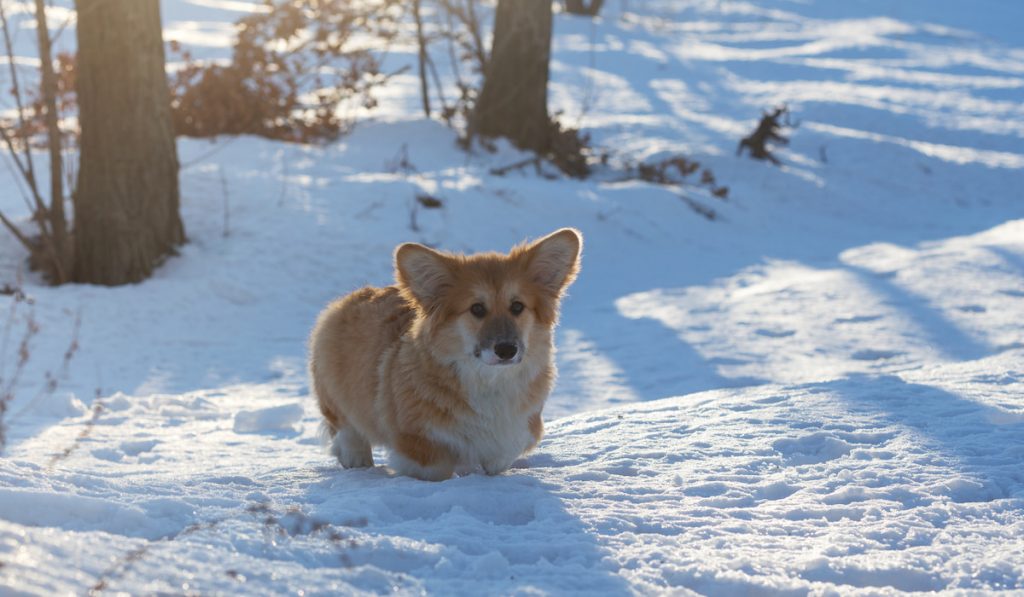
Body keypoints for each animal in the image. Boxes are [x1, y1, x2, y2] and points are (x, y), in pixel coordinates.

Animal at [307, 229, 581, 481]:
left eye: (517, 306)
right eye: (477, 309)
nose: (506, 350)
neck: (487, 380)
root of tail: (352, 297)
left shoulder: (519, 428)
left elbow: (502, 454)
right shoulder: (419, 441)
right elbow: (437, 469)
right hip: (334, 391)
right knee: (347, 428)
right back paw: (357, 460)